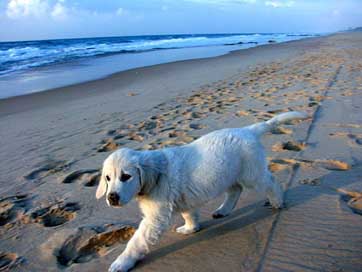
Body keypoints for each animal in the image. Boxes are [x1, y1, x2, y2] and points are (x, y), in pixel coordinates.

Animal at [97, 111, 308, 272]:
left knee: (270, 182)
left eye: (126, 176)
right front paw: (190, 228)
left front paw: (121, 263)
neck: (155, 174)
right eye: (107, 178)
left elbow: (137, 241)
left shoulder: (155, 217)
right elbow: (189, 214)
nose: (112, 197)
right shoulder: (183, 199)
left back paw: (277, 201)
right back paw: (223, 210)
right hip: (229, 174)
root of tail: (247, 130)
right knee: (236, 190)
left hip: (251, 173)